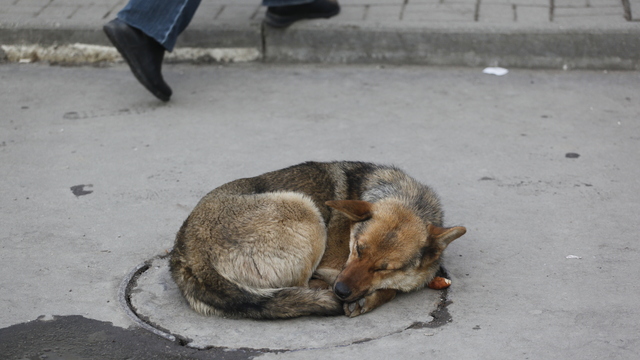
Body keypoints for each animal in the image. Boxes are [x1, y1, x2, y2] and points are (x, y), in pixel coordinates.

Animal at [170, 162, 464, 320]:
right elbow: (391, 289)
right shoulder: (334, 266)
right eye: (358, 249)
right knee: (302, 287)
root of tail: (190, 256)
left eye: (383, 267)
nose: (342, 291)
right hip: (304, 209)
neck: (411, 198)